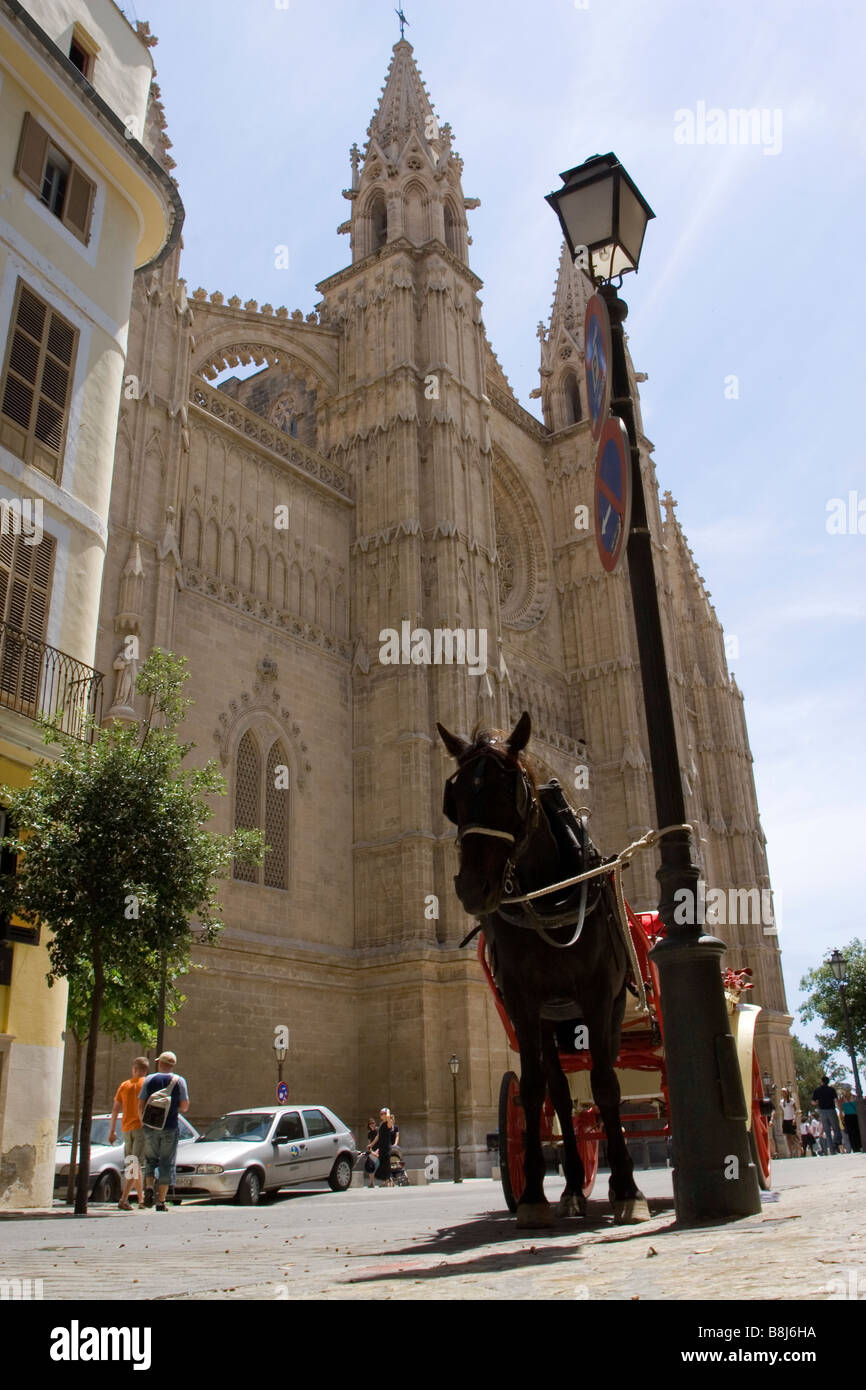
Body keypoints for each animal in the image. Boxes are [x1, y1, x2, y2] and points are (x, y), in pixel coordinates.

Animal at [436, 711, 647, 1223]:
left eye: (513, 789)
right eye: (453, 799)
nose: (474, 888)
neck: (549, 897)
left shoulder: (599, 996)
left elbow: (606, 1085)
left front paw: (628, 1189)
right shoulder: (522, 1003)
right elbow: (534, 1092)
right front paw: (533, 1192)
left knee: (602, 1085)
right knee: (564, 1095)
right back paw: (570, 1186)